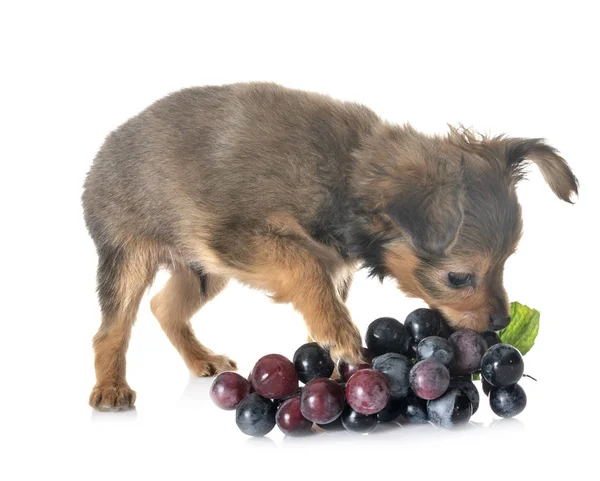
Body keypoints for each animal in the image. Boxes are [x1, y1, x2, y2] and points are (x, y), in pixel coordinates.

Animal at [82, 81, 580, 408]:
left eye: (507, 262)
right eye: (458, 277)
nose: (502, 322)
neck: (347, 175)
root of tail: (105, 148)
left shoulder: (328, 267)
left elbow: (317, 298)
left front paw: (331, 365)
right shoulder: (237, 237)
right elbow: (303, 266)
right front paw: (341, 336)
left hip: (203, 270)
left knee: (164, 306)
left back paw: (200, 357)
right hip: (132, 259)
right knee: (112, 329)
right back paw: (110, 388)